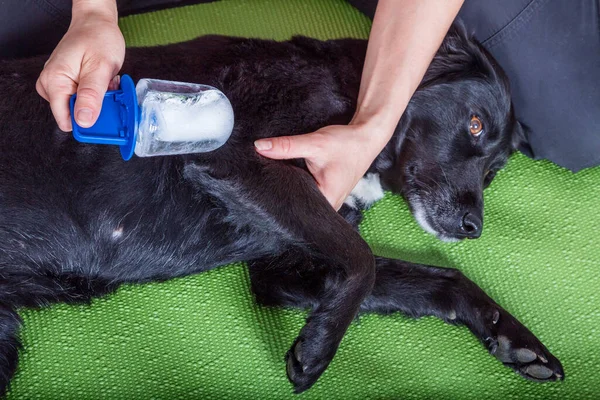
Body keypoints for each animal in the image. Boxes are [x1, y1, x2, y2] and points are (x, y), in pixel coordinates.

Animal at [0, 23, 564, 392]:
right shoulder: (239, 156)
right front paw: (317, 352)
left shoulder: (283, 269)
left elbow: (431, 278)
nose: (474, 227)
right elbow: (361, 258)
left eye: (494, 172)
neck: (353, 96)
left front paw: (509, 335)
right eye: (474, 125)